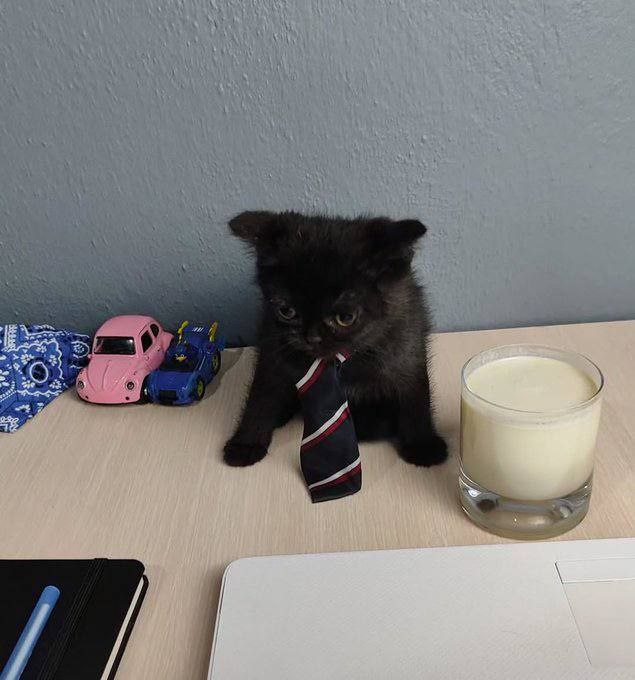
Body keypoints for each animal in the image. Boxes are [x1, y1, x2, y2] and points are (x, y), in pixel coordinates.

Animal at [223, 210, 448, 469]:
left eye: (345, 318)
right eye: (286, 311)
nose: (311, 337)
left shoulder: (406, 349)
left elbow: (415, 397)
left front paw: (423, 444)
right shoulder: (272, 348)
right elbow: (261, 395)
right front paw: (246, 442)